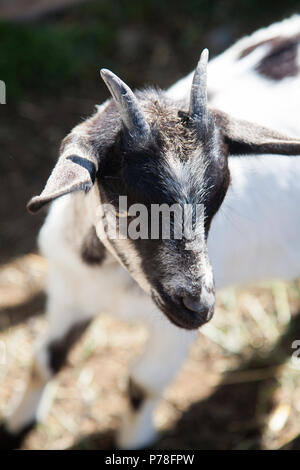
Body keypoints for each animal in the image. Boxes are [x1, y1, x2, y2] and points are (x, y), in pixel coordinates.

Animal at [0, 14, 300, 450]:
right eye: (130, 201)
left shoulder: (174, 334)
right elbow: (45, 360)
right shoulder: (68, 293)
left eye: (217, 198)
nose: (198, 306)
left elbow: (142, 385)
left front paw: (134, 440)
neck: (111, 279)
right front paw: (16, 425)